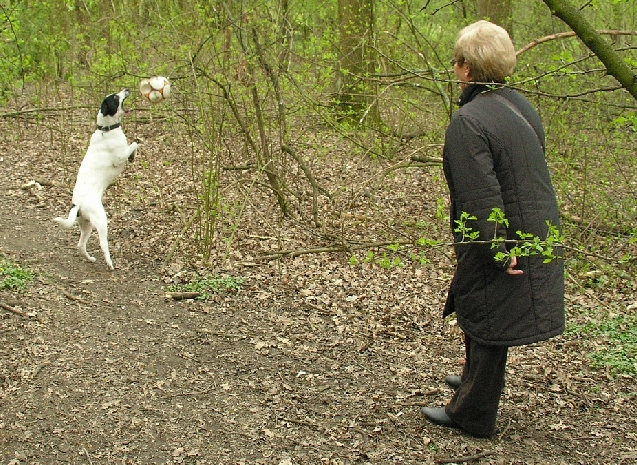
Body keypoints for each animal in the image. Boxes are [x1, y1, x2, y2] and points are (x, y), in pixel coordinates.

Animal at [55, 89, 138, 270]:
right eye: (115, 97)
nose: (127, 89)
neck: (106, 129)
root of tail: (77, 204)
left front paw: (133, 157)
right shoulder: (119, 157)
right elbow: (135, 143)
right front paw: (133, 155)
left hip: (86, 225)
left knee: (80, 245)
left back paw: (90, 259)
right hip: (100, 220)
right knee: (103, 243)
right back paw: (110, 264)